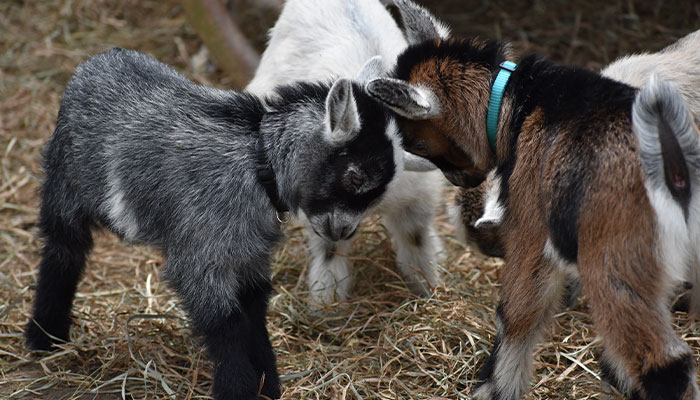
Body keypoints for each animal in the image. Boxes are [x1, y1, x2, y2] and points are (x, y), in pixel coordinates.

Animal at [25, 47, 400, 400]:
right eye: (356, 177)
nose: (345, 231)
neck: (258, 161)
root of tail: (97, 61)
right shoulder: (199, 255)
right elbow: (225, 322)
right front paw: (238, 390)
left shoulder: (250, 254)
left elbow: (253, 311)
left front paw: (268, 385)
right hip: (64, 184)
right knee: (64, 250)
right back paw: (45, 335)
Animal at [247, 0, 444, 304]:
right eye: (355, 177)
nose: (343, 230)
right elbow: (329, 252)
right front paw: (326, 303)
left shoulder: (416, 203)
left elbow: (417, 243)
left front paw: (428, 290)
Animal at [367, 1, 700, 398]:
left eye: (416, 142)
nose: (457, 180)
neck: (518, 104)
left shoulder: (531, 220)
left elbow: (517, 313)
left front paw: (493, 388)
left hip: (617, 252)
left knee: (662, 361)